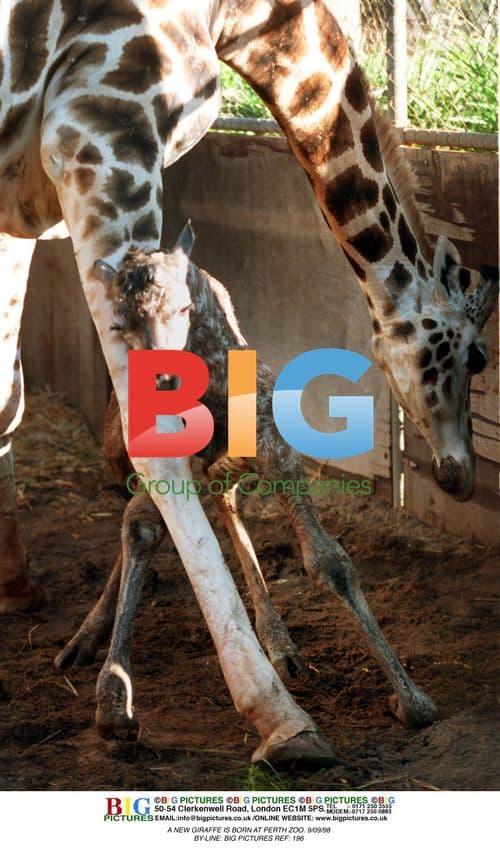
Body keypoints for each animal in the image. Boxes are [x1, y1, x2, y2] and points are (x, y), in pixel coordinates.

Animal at [0, 1, 497, 763]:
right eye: (476, 357)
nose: (461, 473)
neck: (246, 21)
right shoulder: (100, 139)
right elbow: (158, 477)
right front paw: (277, 714)